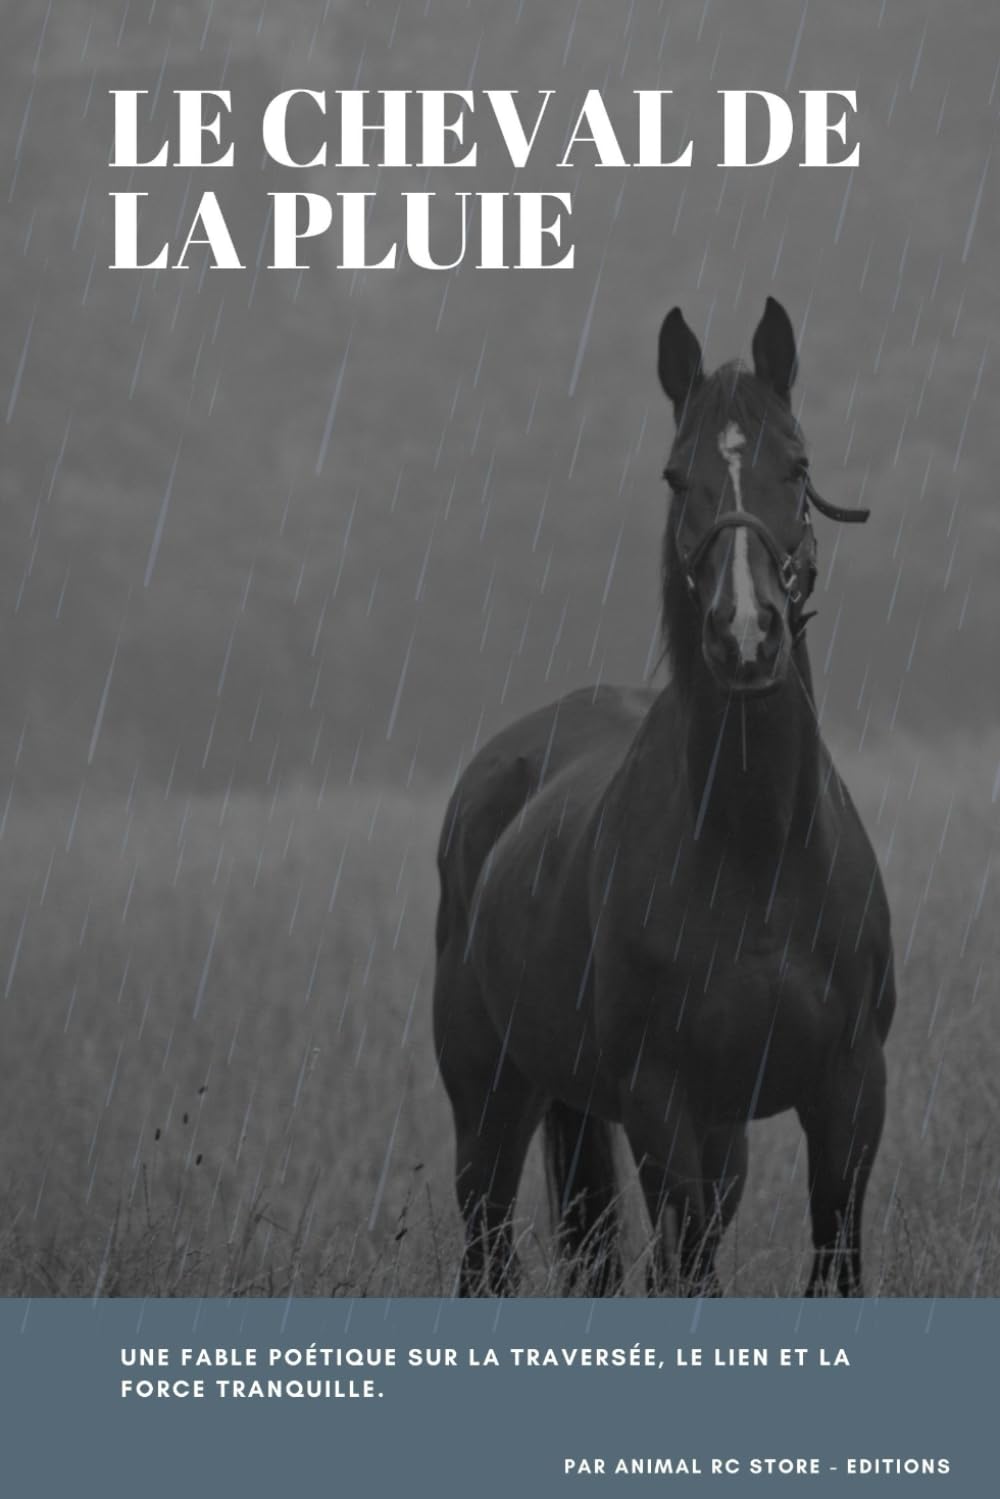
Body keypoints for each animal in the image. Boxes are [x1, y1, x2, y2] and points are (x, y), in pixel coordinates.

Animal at [432, 298, 895, 1297]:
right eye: (679, 475)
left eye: (798, 465)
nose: (746, 633)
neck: (757, 850)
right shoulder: (659, 1102)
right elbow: (685, 1275)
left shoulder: (848, 1093)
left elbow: (832, 1260)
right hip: (490, 1100)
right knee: (487, 1248)